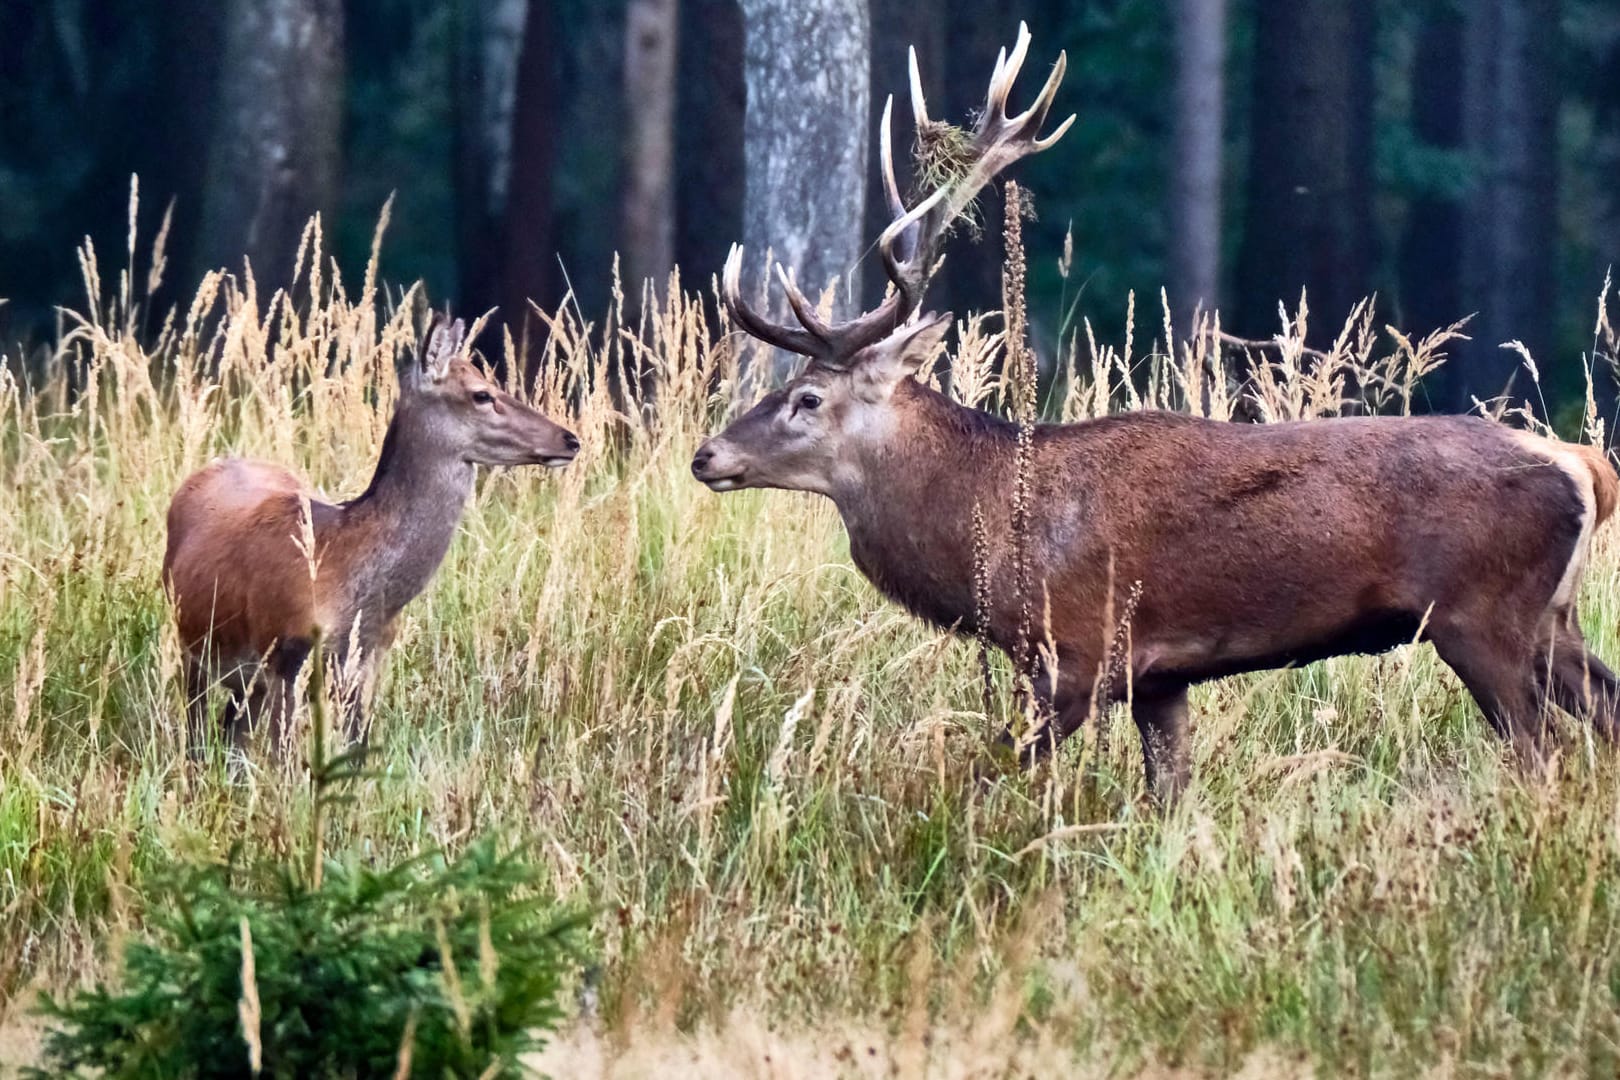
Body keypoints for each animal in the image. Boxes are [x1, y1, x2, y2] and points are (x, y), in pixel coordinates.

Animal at [164, 317, 579, 757]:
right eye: (481, 393)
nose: (570, 439)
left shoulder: (367, 659)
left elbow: (355, 745)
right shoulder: (285, 651)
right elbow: (283, 758)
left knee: (232, 736)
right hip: (192, 646)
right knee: (199, 734)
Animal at [693, 25, 1620, 803]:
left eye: (807, 399)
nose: (707, 454)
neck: (992, 521)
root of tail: (1584, 466)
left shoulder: (1078, 652)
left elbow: (997, 777)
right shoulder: (1160, 676)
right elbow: (1168, 798)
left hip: (1484, 616)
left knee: (1545, 757)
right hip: (1552, 621)